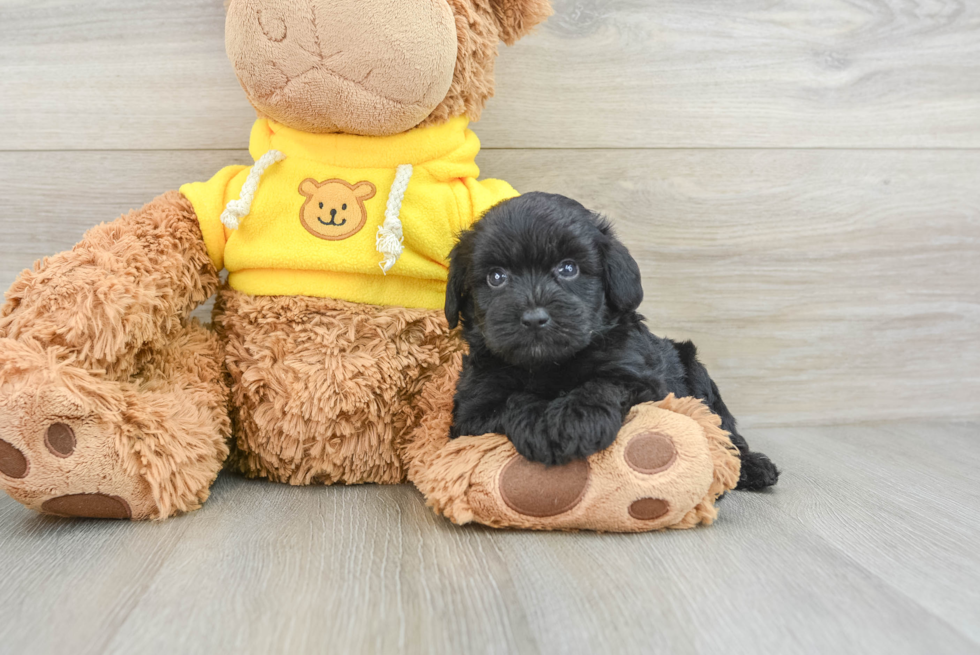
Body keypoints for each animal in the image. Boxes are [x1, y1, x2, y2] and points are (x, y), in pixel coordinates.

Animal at [448, 192, 776, 490]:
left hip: (695, 370)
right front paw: (541, 423)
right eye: (496, 277)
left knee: (723, 427)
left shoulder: (643, 378)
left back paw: (752, 466)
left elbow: (604, 383)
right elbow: (511, 400)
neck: (549, 364)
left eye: (568, 269)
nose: (534, 318)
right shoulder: (470, 413)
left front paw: (575, 420)